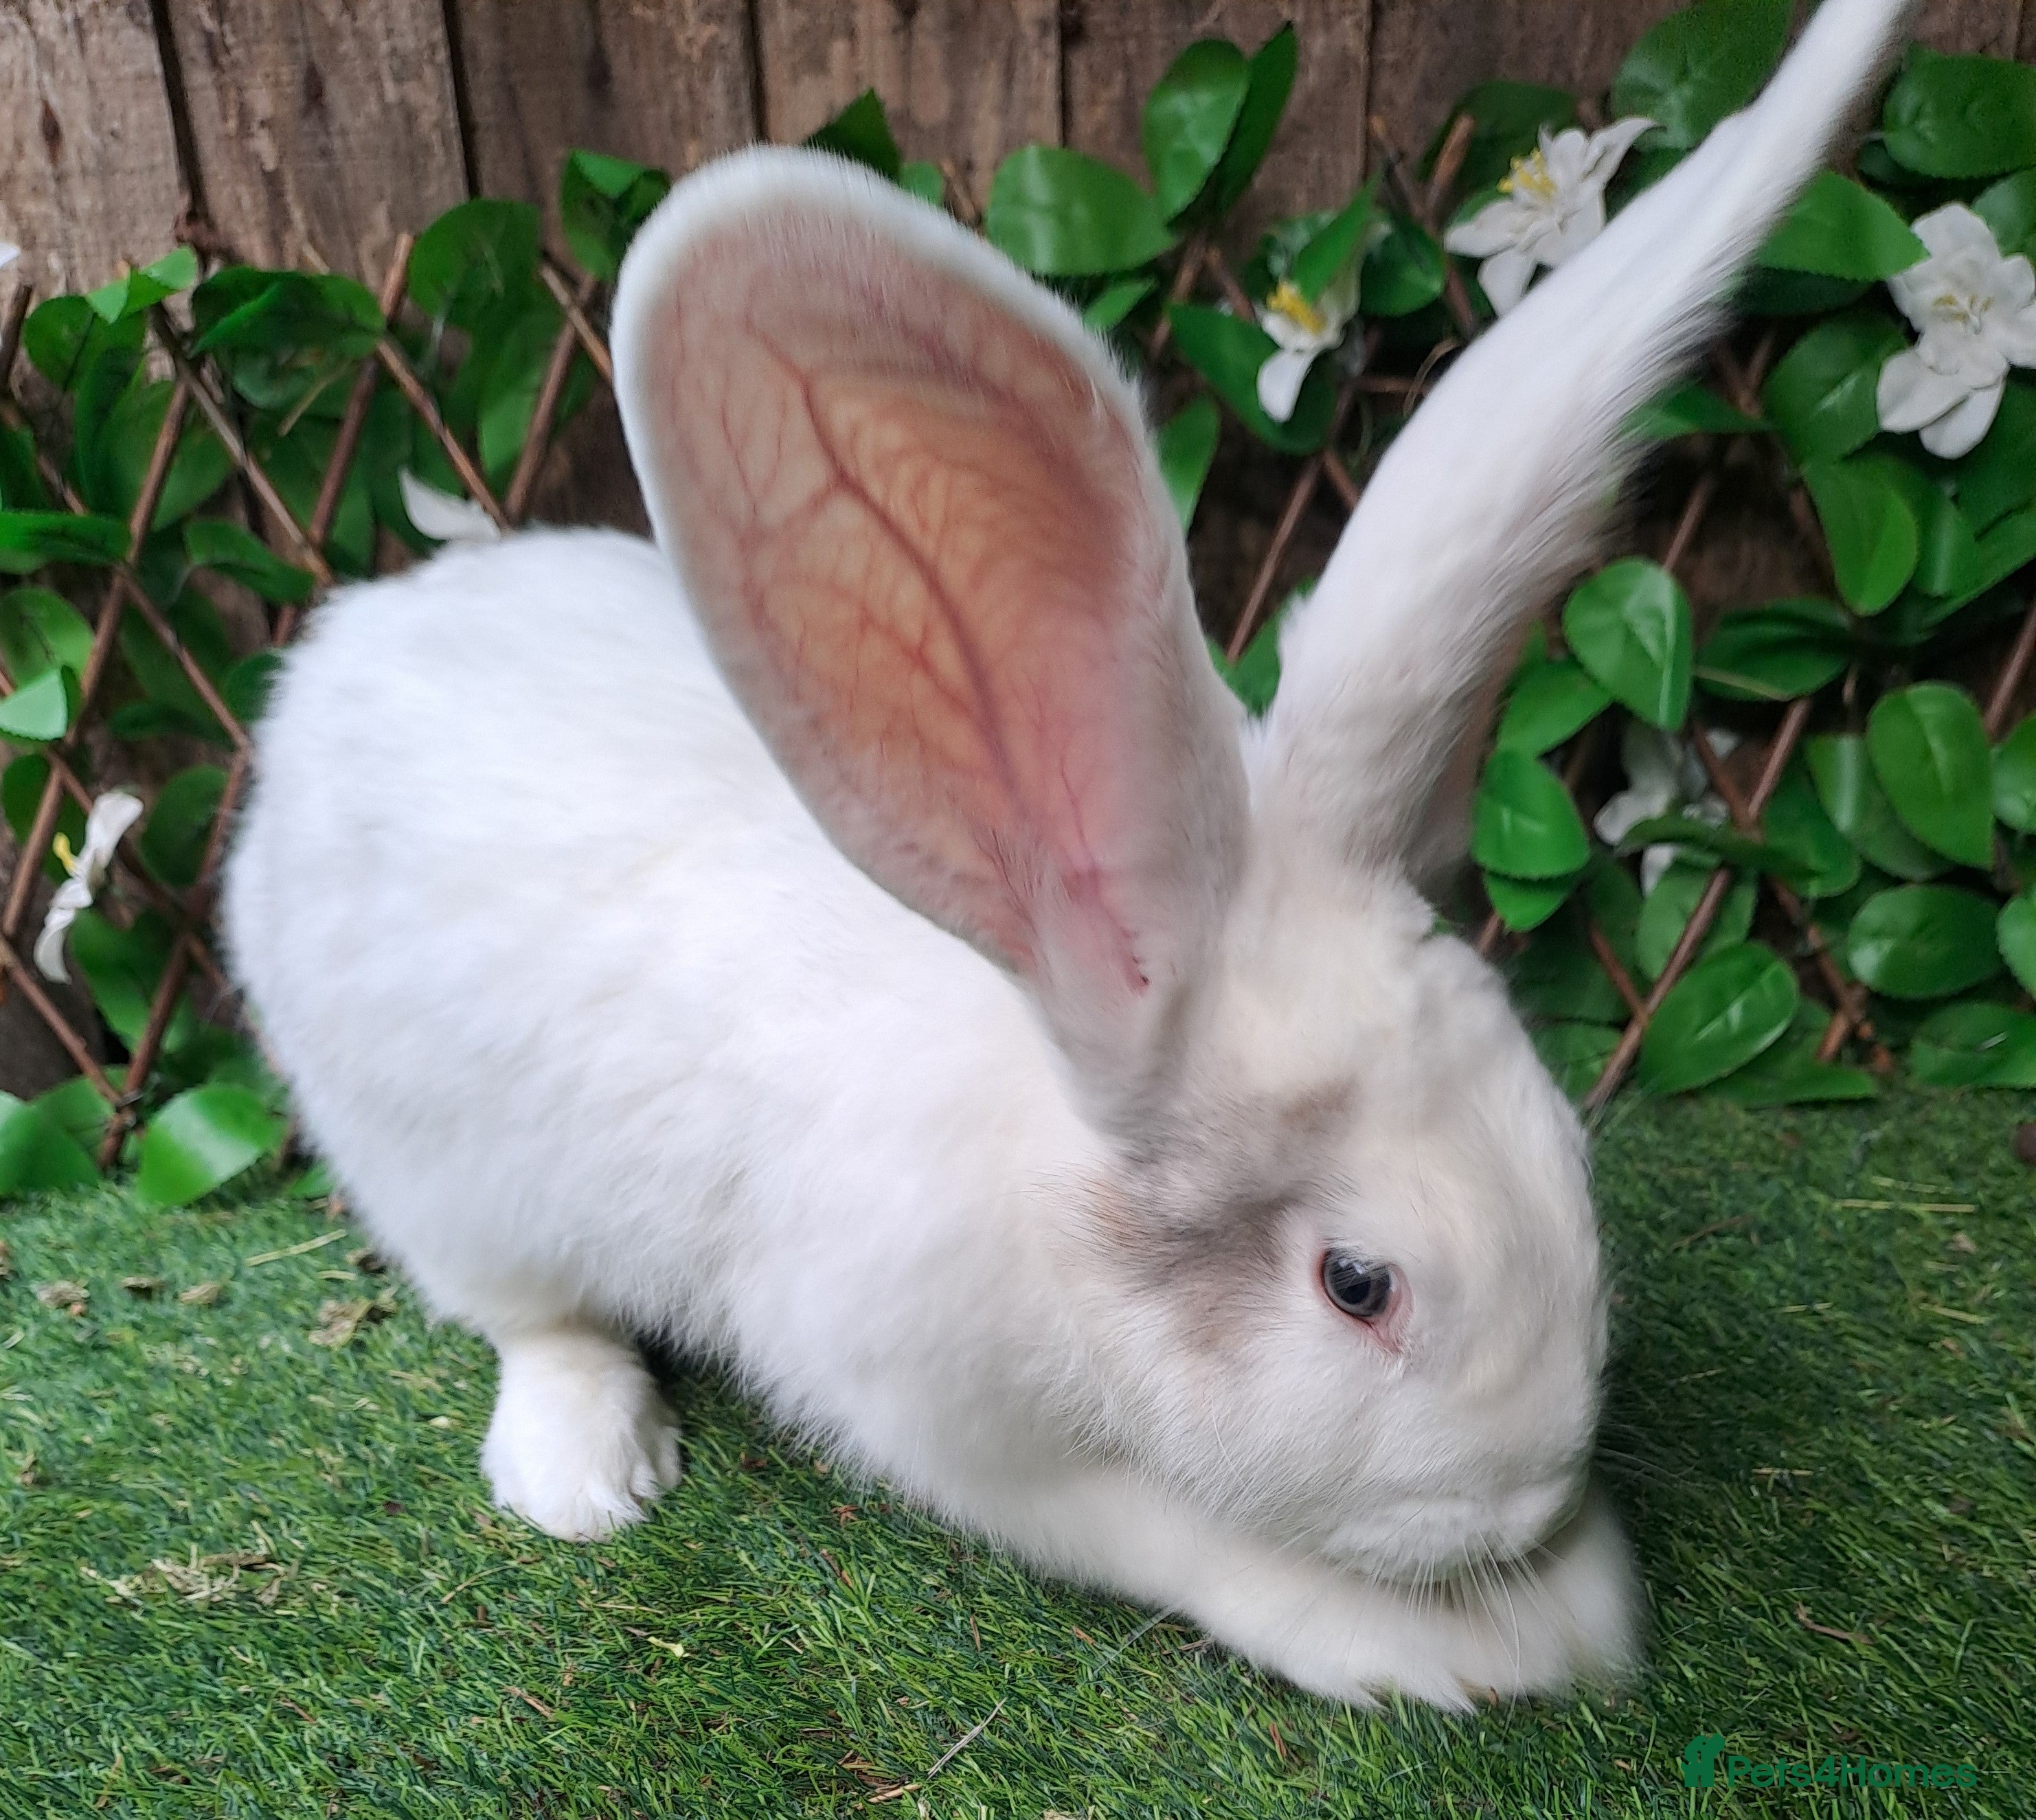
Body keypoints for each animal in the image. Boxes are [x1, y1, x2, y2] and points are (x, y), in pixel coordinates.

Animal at [225, 0, 1910, 1709]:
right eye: (1357, 1282)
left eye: (1569, 1152)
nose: (1531, 1491)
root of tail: (348, 652)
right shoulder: (941, 1413)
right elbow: (1177, 1533)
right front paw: (1509, 1628)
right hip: (437, 1168)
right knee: (526, 1313)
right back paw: (586, 1469)